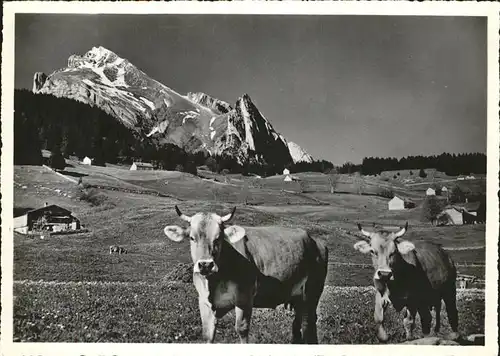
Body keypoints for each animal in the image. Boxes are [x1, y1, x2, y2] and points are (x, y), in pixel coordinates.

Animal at [164, 206, 328, 344]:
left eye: (218, 238)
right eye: (192, 238)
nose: (205, 264)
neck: (214, 281)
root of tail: (313, 239)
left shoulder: (244, 299)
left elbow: (241, 330)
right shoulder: (204, 302)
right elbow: (208, 335)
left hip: (312, 292)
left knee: (308, 323)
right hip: (297, 296)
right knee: (297, 324)